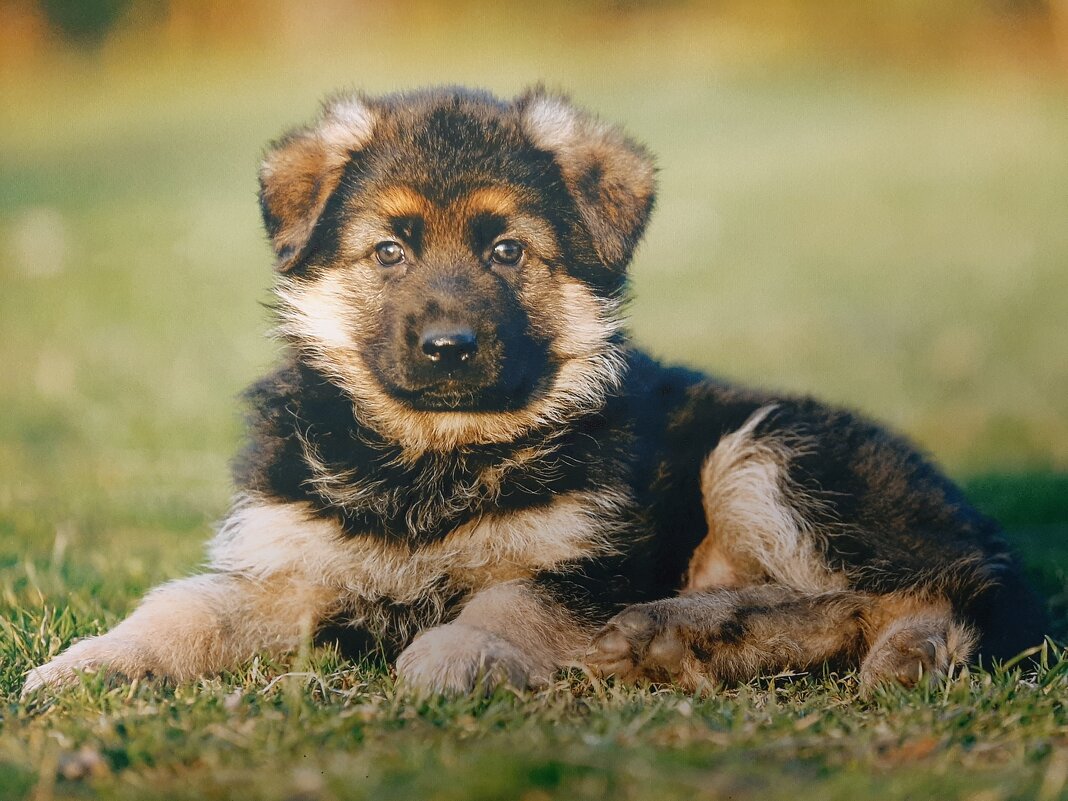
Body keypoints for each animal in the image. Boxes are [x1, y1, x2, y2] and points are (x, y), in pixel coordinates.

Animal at [20, 86, 1046, 696]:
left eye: (507, 250)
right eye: (388, 251)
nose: (448, 346)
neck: (430, 459)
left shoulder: (584, 559)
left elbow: (507, 604)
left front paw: (446, 657)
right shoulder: (284, 562)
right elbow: (183, 608)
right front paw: (85, 665)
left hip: (769, 453)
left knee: (930, 592)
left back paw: (877, 648)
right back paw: (683, 637)